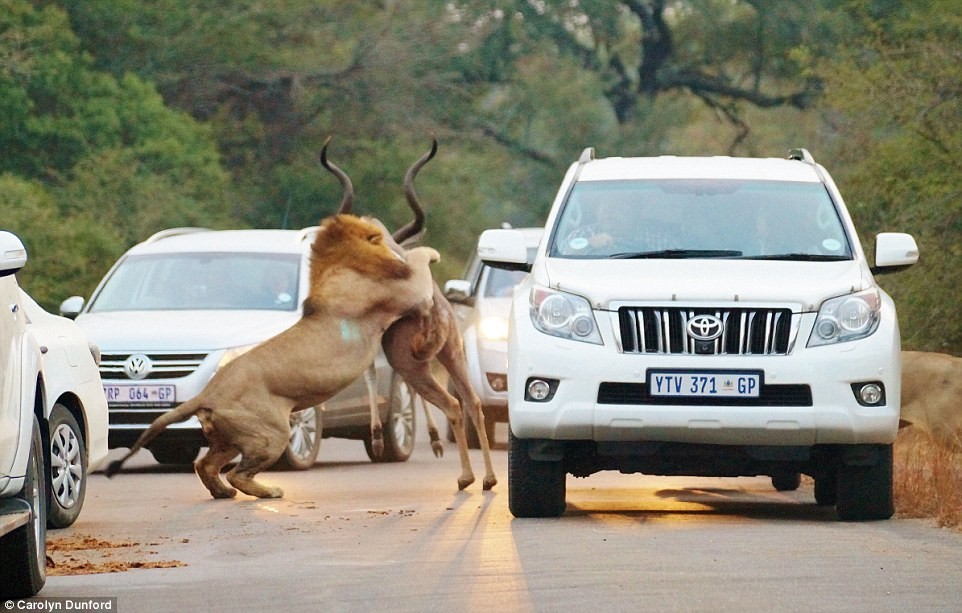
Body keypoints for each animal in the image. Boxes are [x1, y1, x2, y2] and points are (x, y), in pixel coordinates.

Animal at [102, 214, 438, 498]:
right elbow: (420, 263)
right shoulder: (409, 292)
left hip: (229, 438)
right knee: (237, 473)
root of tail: (207, 394)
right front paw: (430, 252)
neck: (336, 265)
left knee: (205, 465)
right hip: (272, 432)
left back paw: (223, 493)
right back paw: (269, 491)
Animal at [320, 137, 496, 488]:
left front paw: (377, 438)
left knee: (452, 404)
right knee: (472, 402)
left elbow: (371, 374)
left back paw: (465, 477)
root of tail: (436, 311)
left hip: (413, 362)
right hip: (451, 354)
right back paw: (488, 479)